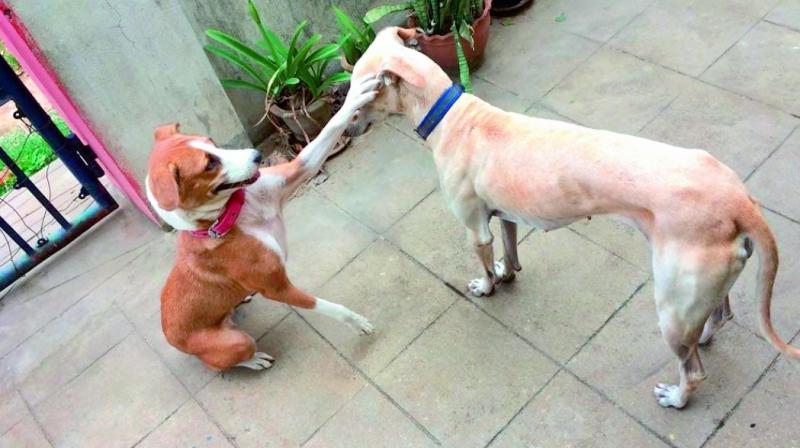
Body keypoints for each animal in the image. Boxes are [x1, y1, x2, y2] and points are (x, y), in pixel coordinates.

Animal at [145, 76, 382, 372]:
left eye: (210, 141)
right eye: (209, 164)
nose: (257, 155)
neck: (235, 213)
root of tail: (168, 334)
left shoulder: (299, 168)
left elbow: (331, 126)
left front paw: (355, 94)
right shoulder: (278, 289)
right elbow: (327, 306)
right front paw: (356, 322)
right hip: (237, 342)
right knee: (228, 361)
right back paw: (255, 360)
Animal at [352, 26, 800, 408]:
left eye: (360, 90)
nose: (348, 130)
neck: (452, 116)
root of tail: (737, 198)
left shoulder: (475, 227)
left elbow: (484, 264)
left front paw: (486, 285)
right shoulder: (505, 215)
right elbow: (510, 254)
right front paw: (507, 273)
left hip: (672, 305)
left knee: (693, 372)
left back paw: (676, 397)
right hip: (704, 288)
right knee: (719, 317)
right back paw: (704, 338)